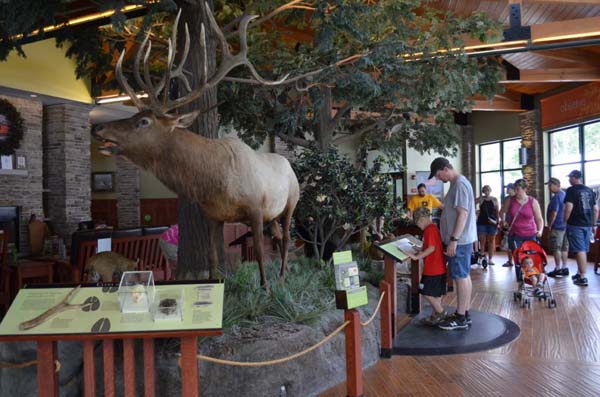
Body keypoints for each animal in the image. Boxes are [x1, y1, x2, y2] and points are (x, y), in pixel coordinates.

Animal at [92, 3, 298, 288]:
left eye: (143, 121)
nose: (97, 128)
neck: (214, 182)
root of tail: (289, 163)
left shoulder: (256, 208)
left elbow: (257, 251)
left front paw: (266, 289)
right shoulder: (212, 216)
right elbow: (212, 257)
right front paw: (213, 285)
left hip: (292, 201)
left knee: (287, 237)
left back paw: (281, 276)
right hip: (273, 214)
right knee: (278, 236)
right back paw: (285, 272)